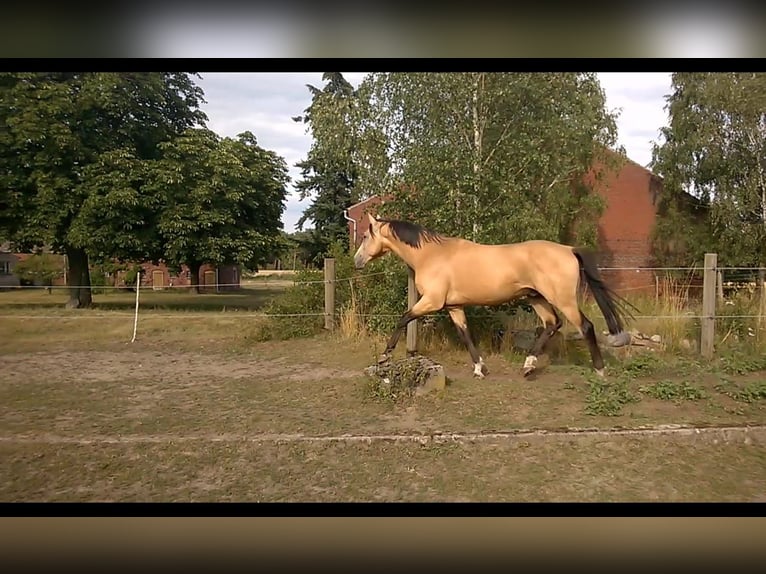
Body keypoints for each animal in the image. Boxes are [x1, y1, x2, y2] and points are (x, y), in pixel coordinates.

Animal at [353, 212, 634, 379]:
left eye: (366, 235)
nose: (356, 261)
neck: (431, 255)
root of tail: (568, 249)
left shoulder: (431, 302)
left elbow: (403, 318)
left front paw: (384, 357)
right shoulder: (454, 307)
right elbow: (465, 335)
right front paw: (479, 368)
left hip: (562, 299)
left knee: (585, 326)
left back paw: (599, 370)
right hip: (536, 298)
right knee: (552, 324)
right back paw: (528, 366)